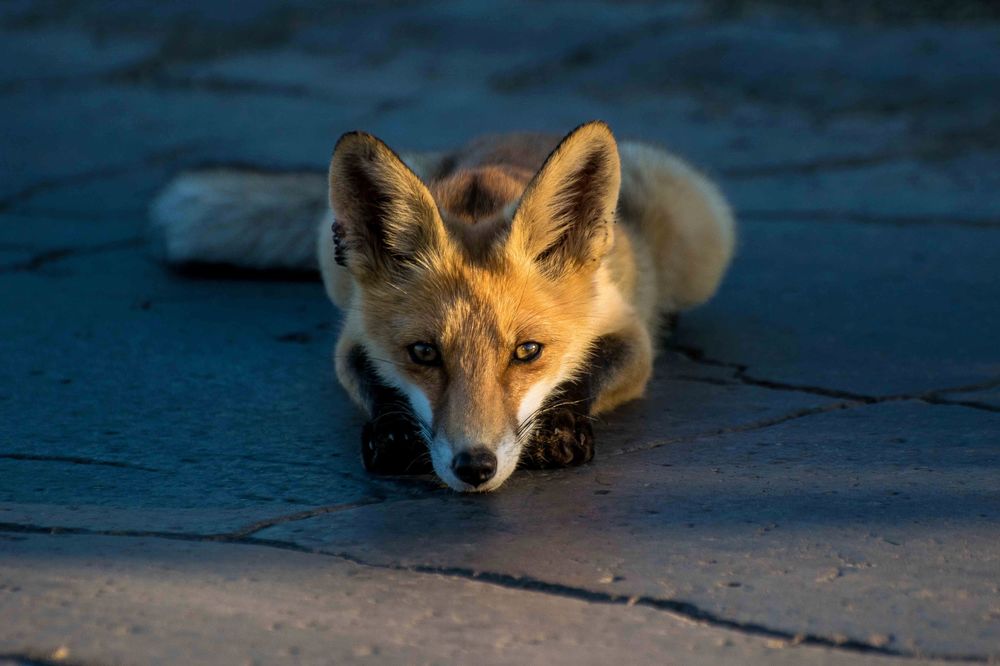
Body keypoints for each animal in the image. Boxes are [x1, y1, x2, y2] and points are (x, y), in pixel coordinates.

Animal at [151, 121, 735, 492]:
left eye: (528, 352)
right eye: (424, 354)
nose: (474, 467)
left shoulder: (629, 333)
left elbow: (589, 371)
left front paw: (560, 429)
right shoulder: (352, 334)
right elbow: (377, 381)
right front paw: (393, 435)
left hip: (700, 228)